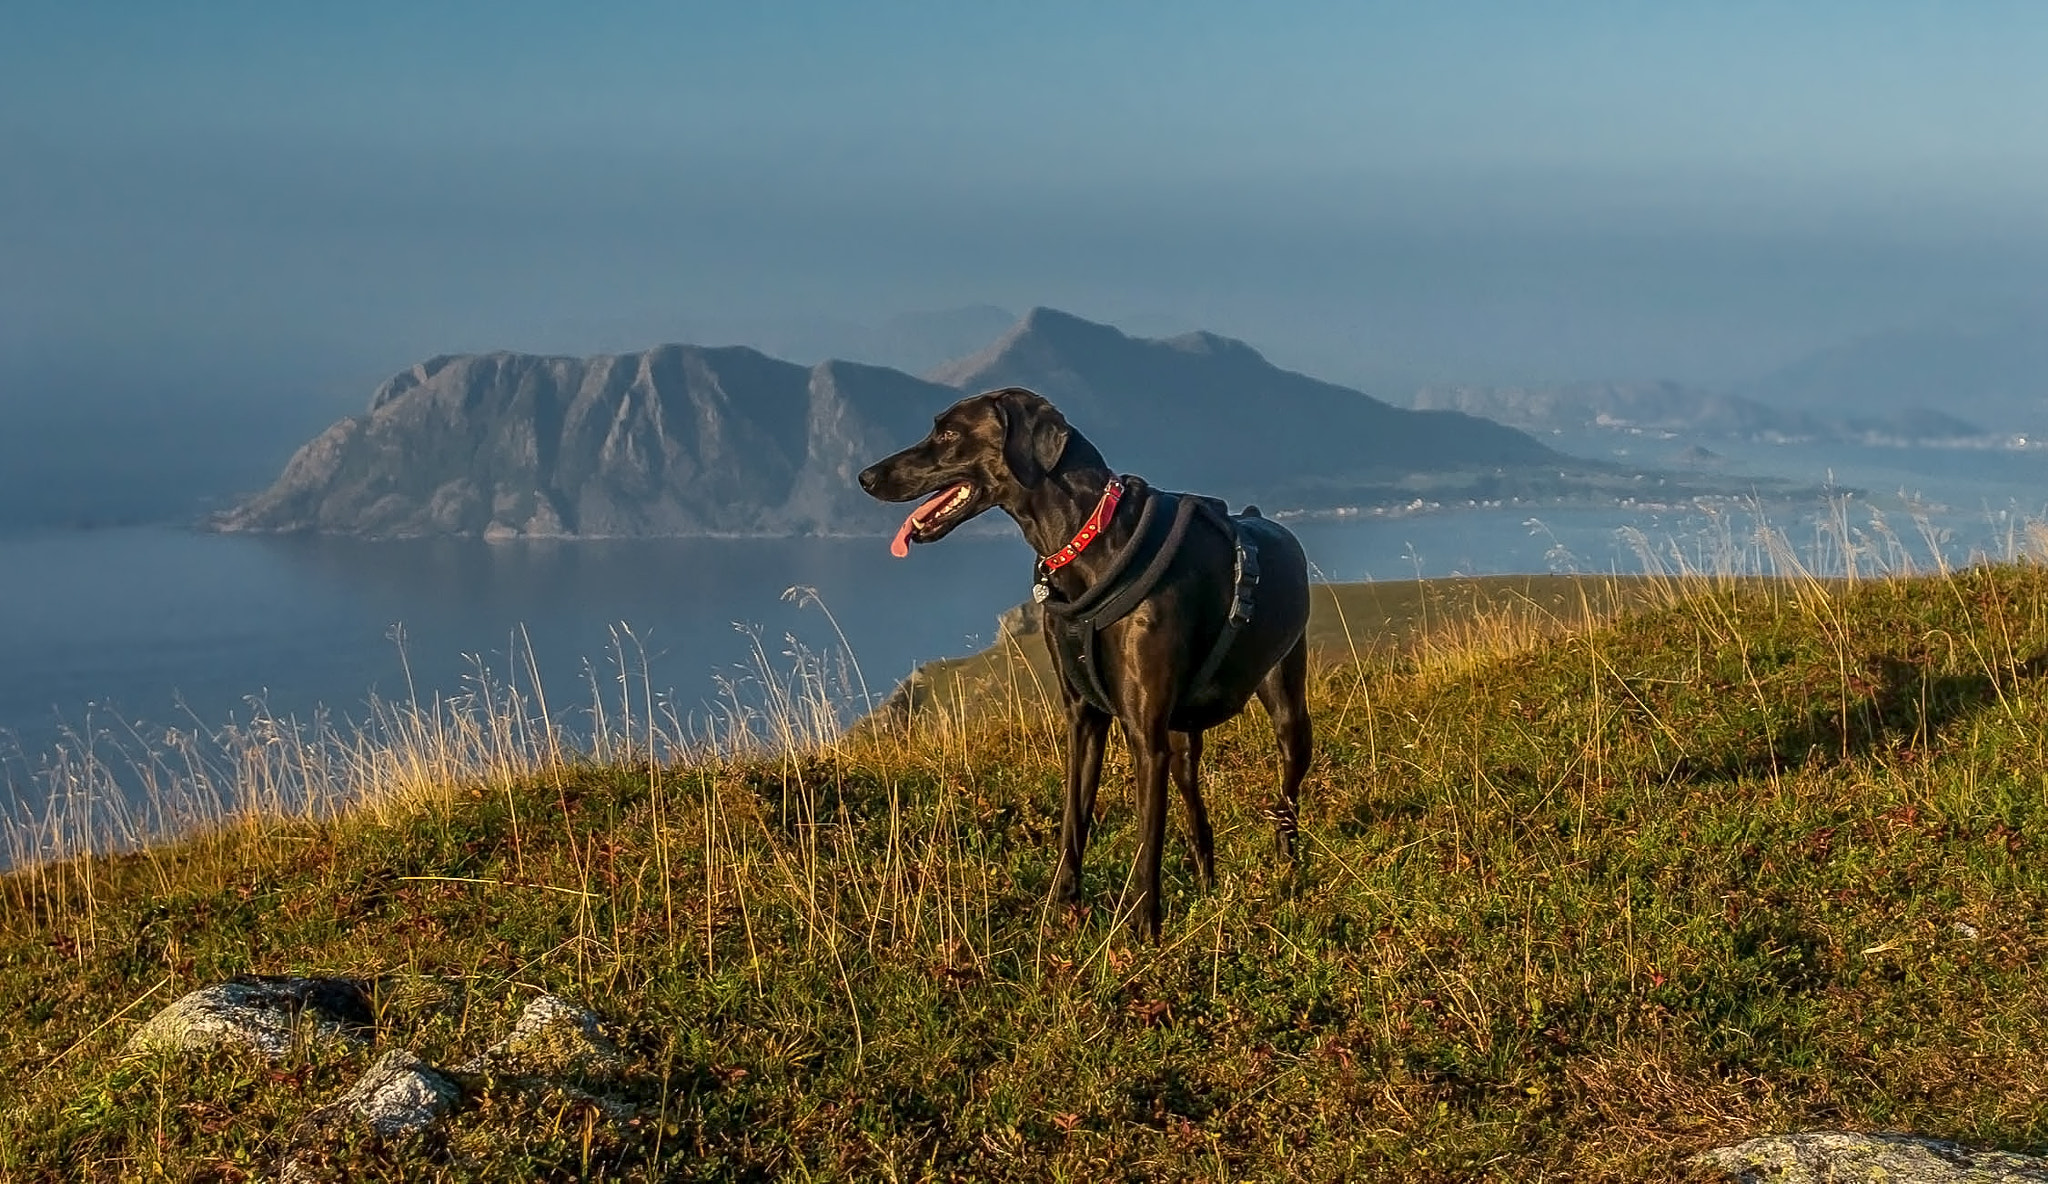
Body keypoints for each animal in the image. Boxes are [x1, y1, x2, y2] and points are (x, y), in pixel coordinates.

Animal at [860, 387, 1310, 929]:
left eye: (948, 433)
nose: (865, 477)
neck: (1086, 542)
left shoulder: (1144, 735)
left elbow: (1148, 839)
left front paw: (1142, 926)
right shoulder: (1084, 718)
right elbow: (1073, 818)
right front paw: (1061, 906)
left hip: (1287, 709)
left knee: (1286, 799)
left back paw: (1287, 867)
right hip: (1183, 740)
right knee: (1196, 810)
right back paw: (1207, 883)